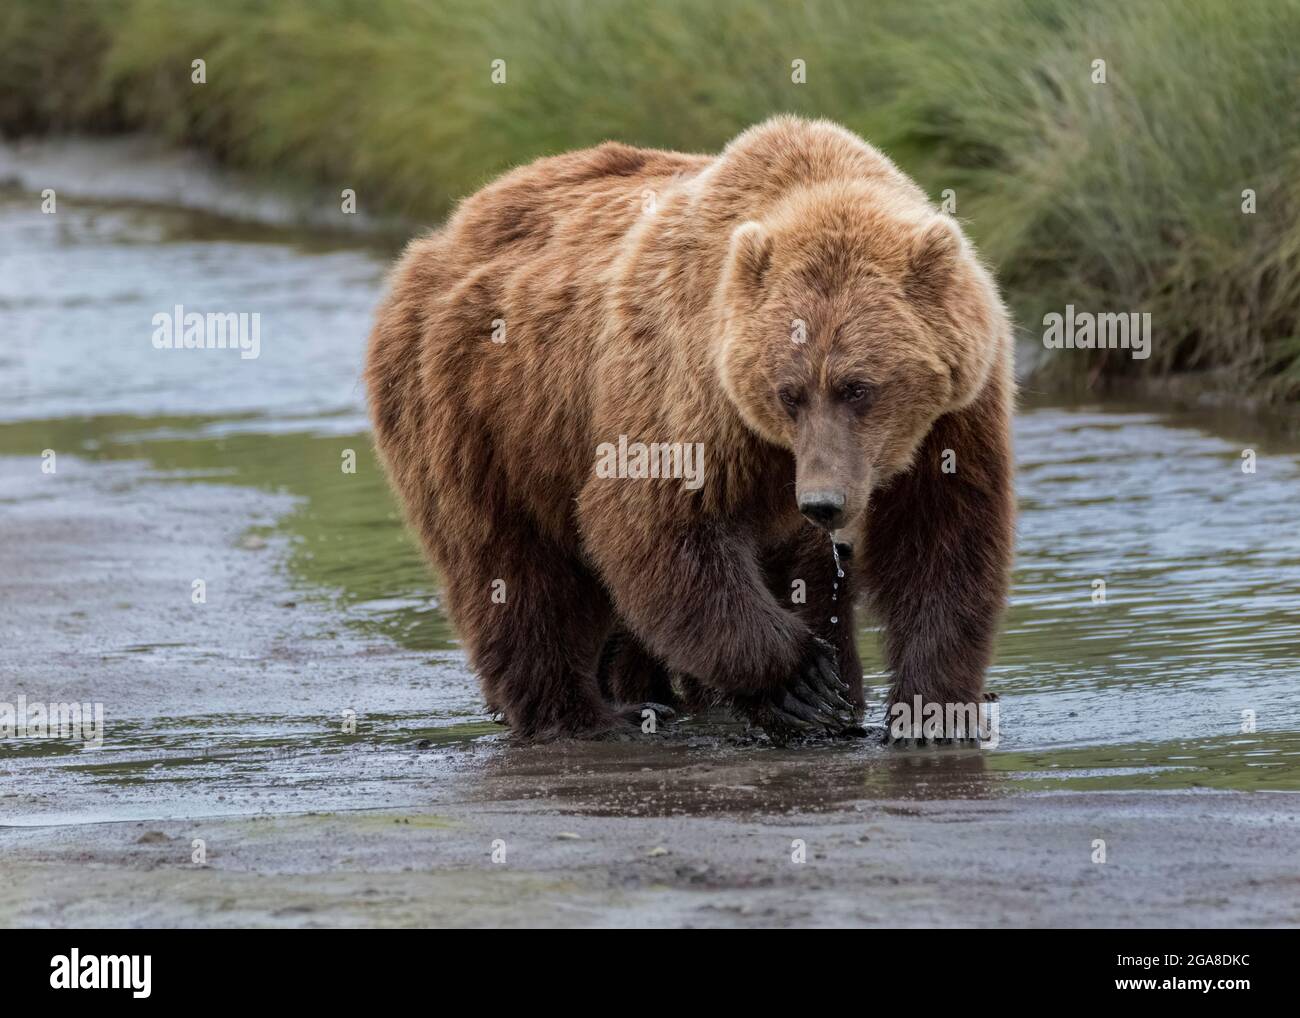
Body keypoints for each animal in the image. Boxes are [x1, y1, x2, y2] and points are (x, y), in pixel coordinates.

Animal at [366, 117, 1013, 738]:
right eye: (789, 392)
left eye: (858, 387)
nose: (823, 502)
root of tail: (443, 232)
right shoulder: (692, 386)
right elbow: (656, 519)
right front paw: (800, 680)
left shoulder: (958, 414)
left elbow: (944, 537)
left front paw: (930, 708)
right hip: (481, 417)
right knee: (510, 569)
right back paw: (585, 717)